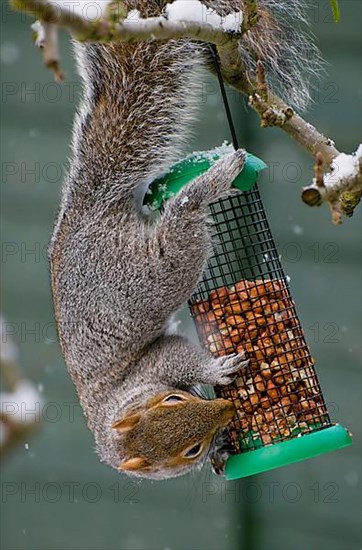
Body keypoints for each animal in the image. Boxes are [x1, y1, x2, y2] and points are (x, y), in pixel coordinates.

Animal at [48, 0, 320, 478]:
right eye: (189, 450)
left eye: (174, 399)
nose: (226, 412)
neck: (122, 403)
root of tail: (86, 212)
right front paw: (221, 445)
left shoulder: (158, 361)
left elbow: (178, 354)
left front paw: (213, 372)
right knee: (182, 217)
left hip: (153, 269)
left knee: (183, 212)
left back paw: (217, 176)